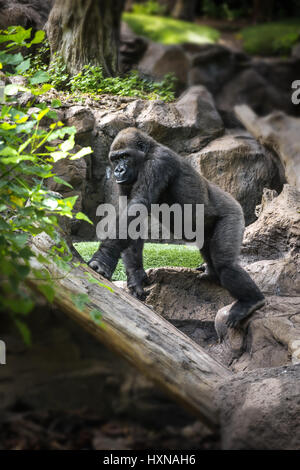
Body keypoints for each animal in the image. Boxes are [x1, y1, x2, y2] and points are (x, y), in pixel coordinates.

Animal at [89, 126, 264, 328]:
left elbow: (137, 206)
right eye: (115, 159)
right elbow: (133, 217)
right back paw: (211, 273)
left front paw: (102, 259)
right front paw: (135, 276)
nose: (118, 170)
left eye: (125, 156)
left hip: (233, 213)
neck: (147, 153)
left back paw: (251, 301)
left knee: (226, 265)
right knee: (210, 252)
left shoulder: (159, 162)